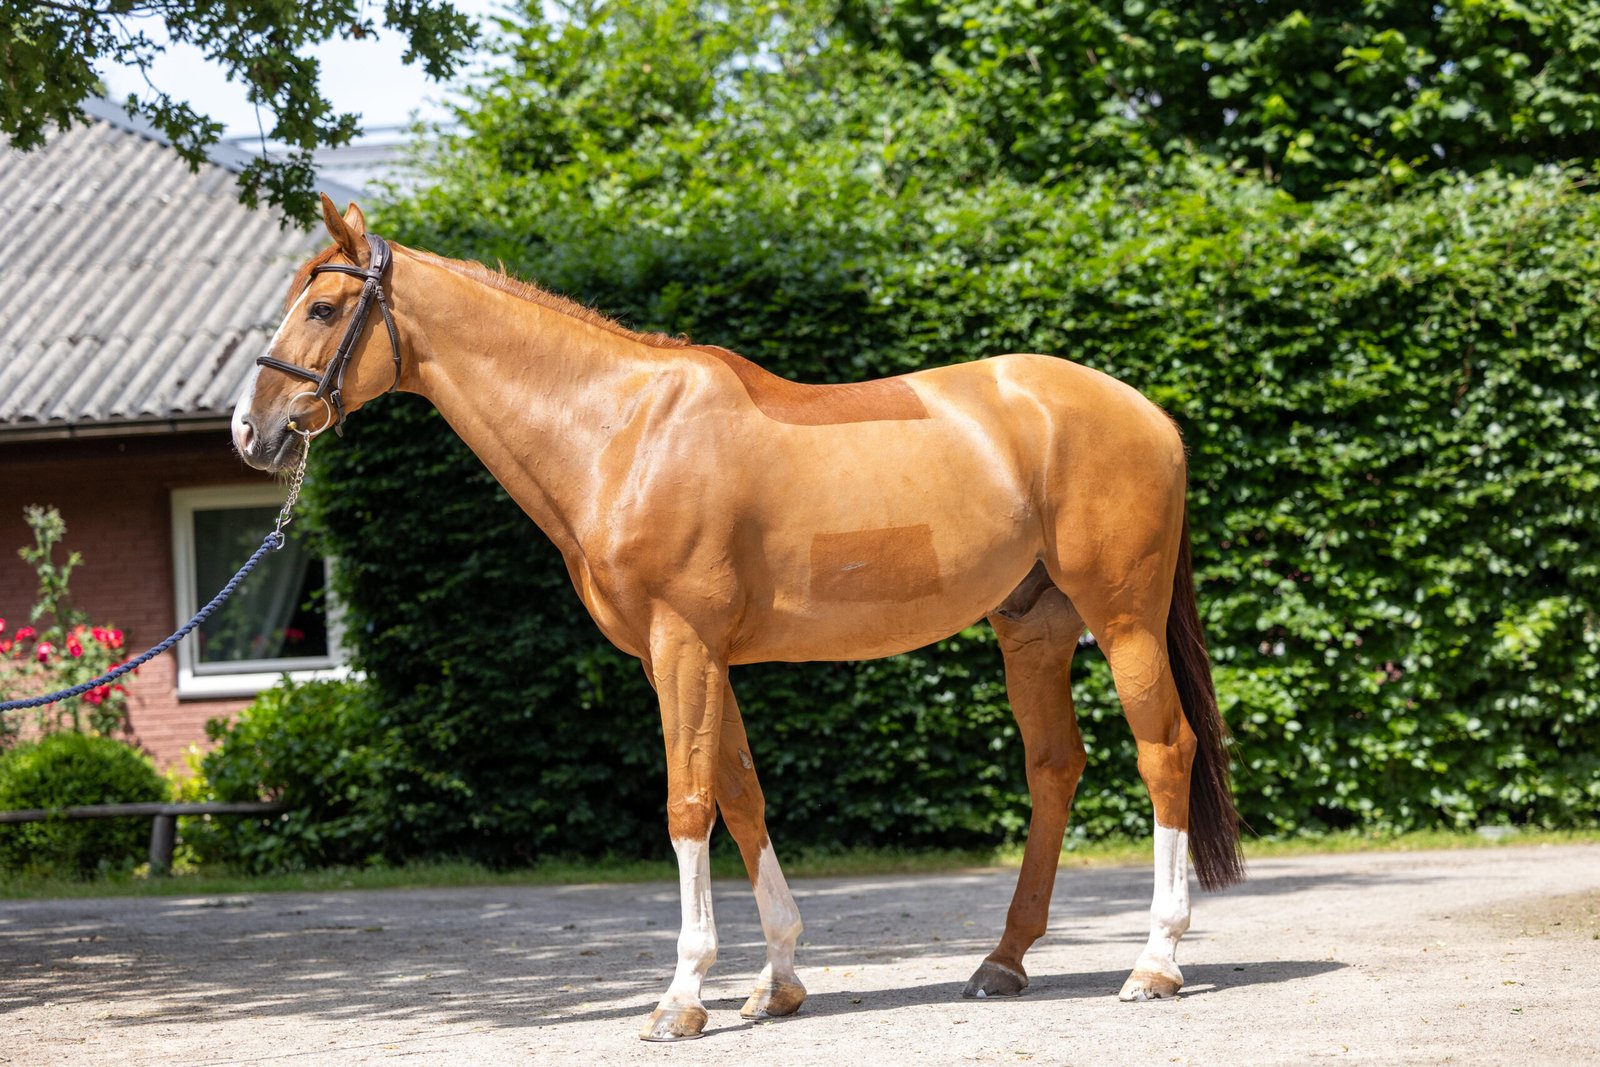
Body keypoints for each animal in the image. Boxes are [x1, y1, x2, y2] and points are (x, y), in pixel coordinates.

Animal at [233, 196, 1245, 1041]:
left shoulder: (684, 644)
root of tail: (1150, 414)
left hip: (1123, 622)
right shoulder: (684, 655)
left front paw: (682, 996)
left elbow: (687, 804)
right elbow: (741, 793)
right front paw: (779, 980)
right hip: (1032, 628)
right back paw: (1003, 961)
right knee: (1054, 768)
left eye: (324, 308)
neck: (621, 430)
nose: (251, 430)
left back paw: (1155, 961)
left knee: (1165, 751)